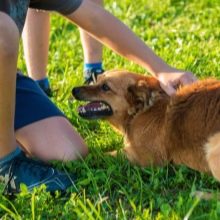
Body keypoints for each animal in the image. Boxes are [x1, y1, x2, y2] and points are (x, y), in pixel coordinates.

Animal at [72, 69, 220, 181]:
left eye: (105, 87)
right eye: (97, 79)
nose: (74, 90)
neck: (140, 111)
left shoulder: (141, 157)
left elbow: (98, 155)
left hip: (211, 149)